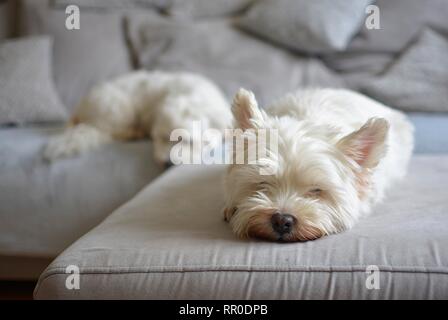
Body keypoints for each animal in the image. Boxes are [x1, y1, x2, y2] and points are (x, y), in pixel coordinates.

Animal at [43, 71, 231, 166]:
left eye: (189, 141)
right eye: (160, 138)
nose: (167, 163)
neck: (193, 98)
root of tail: (79, 108)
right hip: (120, 109)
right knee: (111, 131)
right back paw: (133, 133)